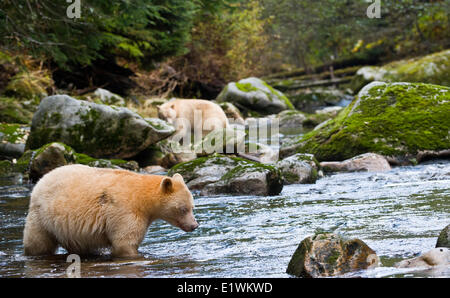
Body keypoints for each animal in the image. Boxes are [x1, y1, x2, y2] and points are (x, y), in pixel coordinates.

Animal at [22, 164, 198, 258]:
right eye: (183, 209)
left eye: (192, 207)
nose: (194, 225)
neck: (142, 198)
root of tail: (40, 182)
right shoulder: (125, 211)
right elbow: (125, 241)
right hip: (42, 217)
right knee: (38, 242)